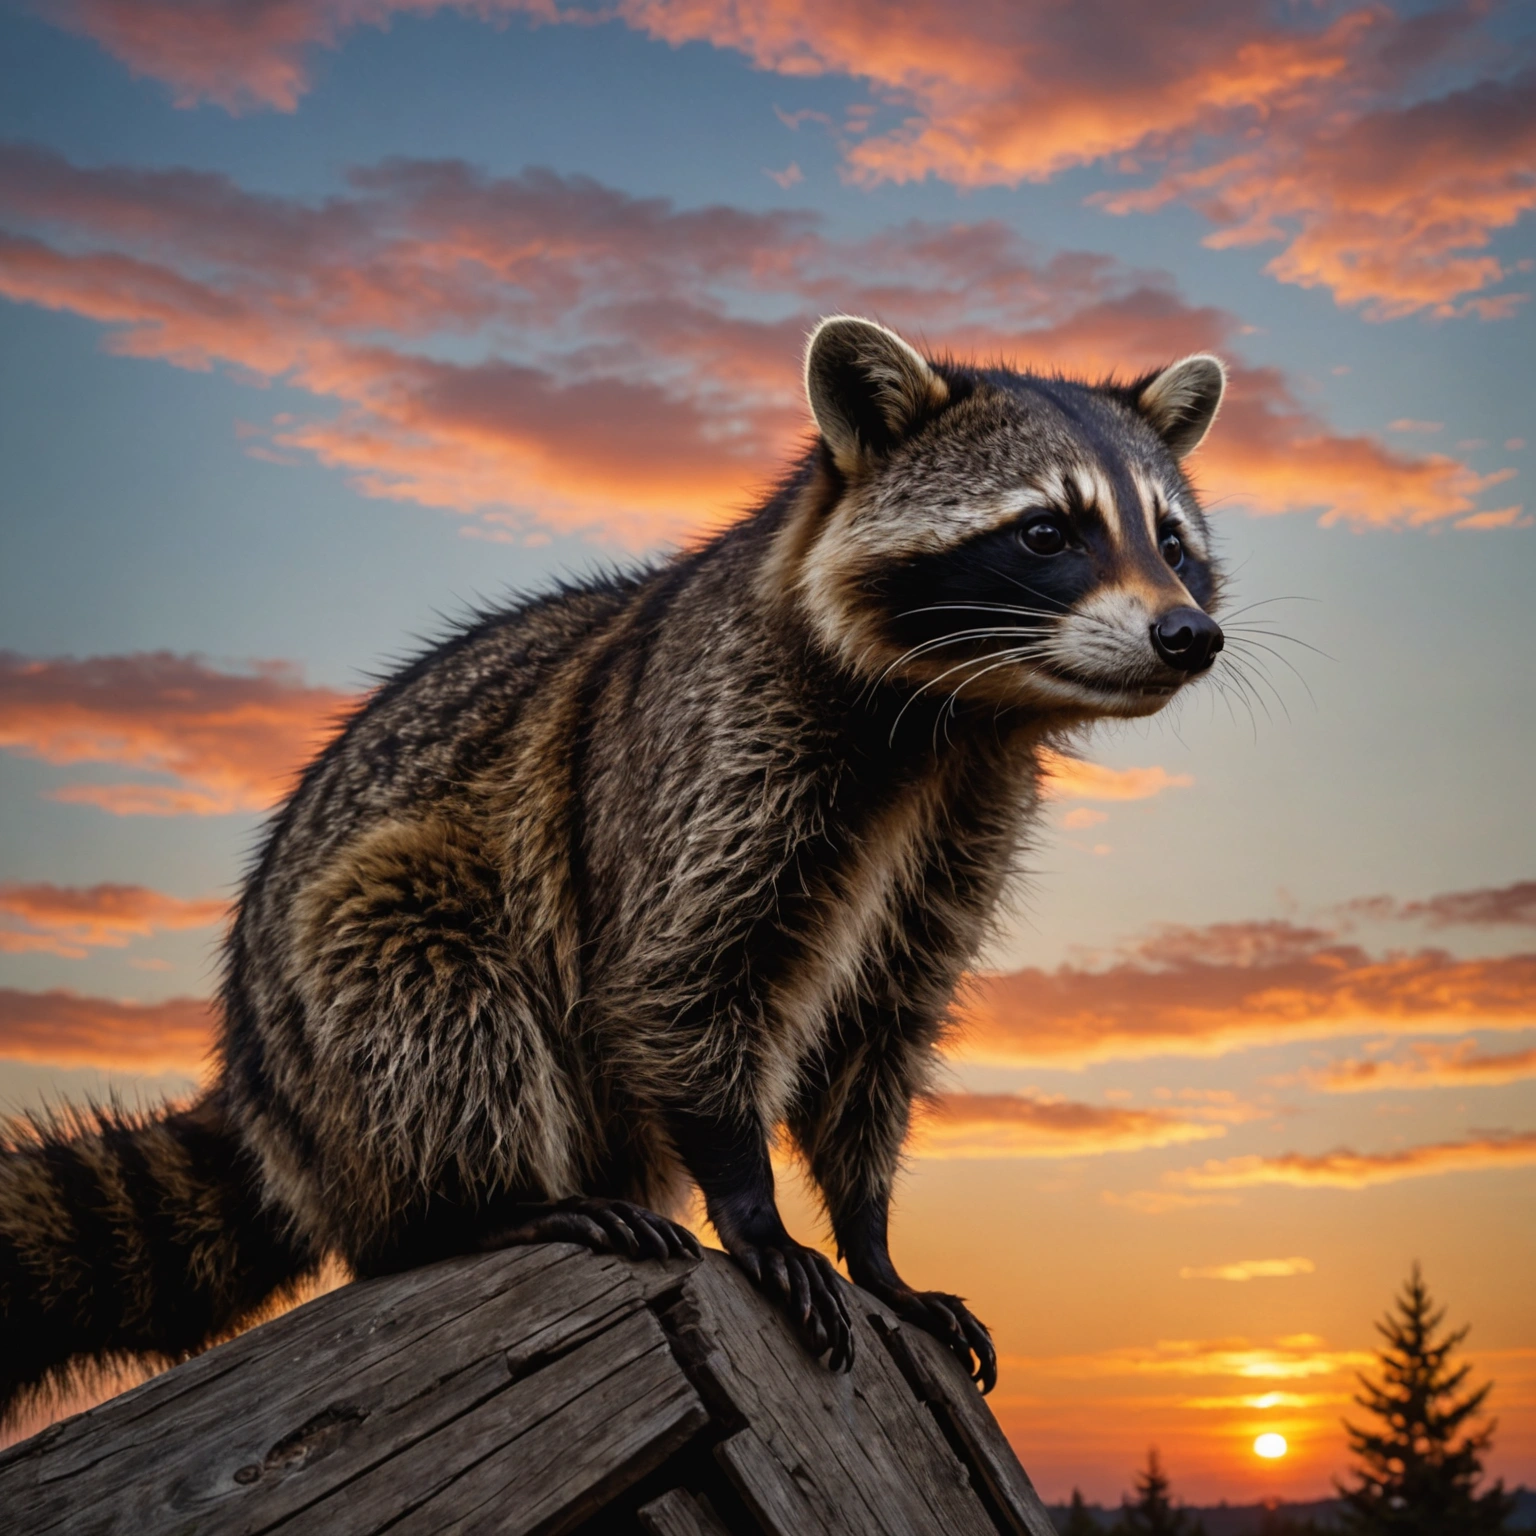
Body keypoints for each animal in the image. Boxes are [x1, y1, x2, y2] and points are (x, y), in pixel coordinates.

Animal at [0, 317, 1226, 1418]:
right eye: (1047, 533)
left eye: (1172, 543)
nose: (1189, 636)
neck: (958, 721)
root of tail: (260, 1092)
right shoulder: (716, 754)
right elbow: (674, 977)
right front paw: (754, 1207)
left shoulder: (958, 832)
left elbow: (876, 1032)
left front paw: (873, 1237)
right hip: (345, 998)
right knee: (426, 987)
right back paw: (479, 1208)